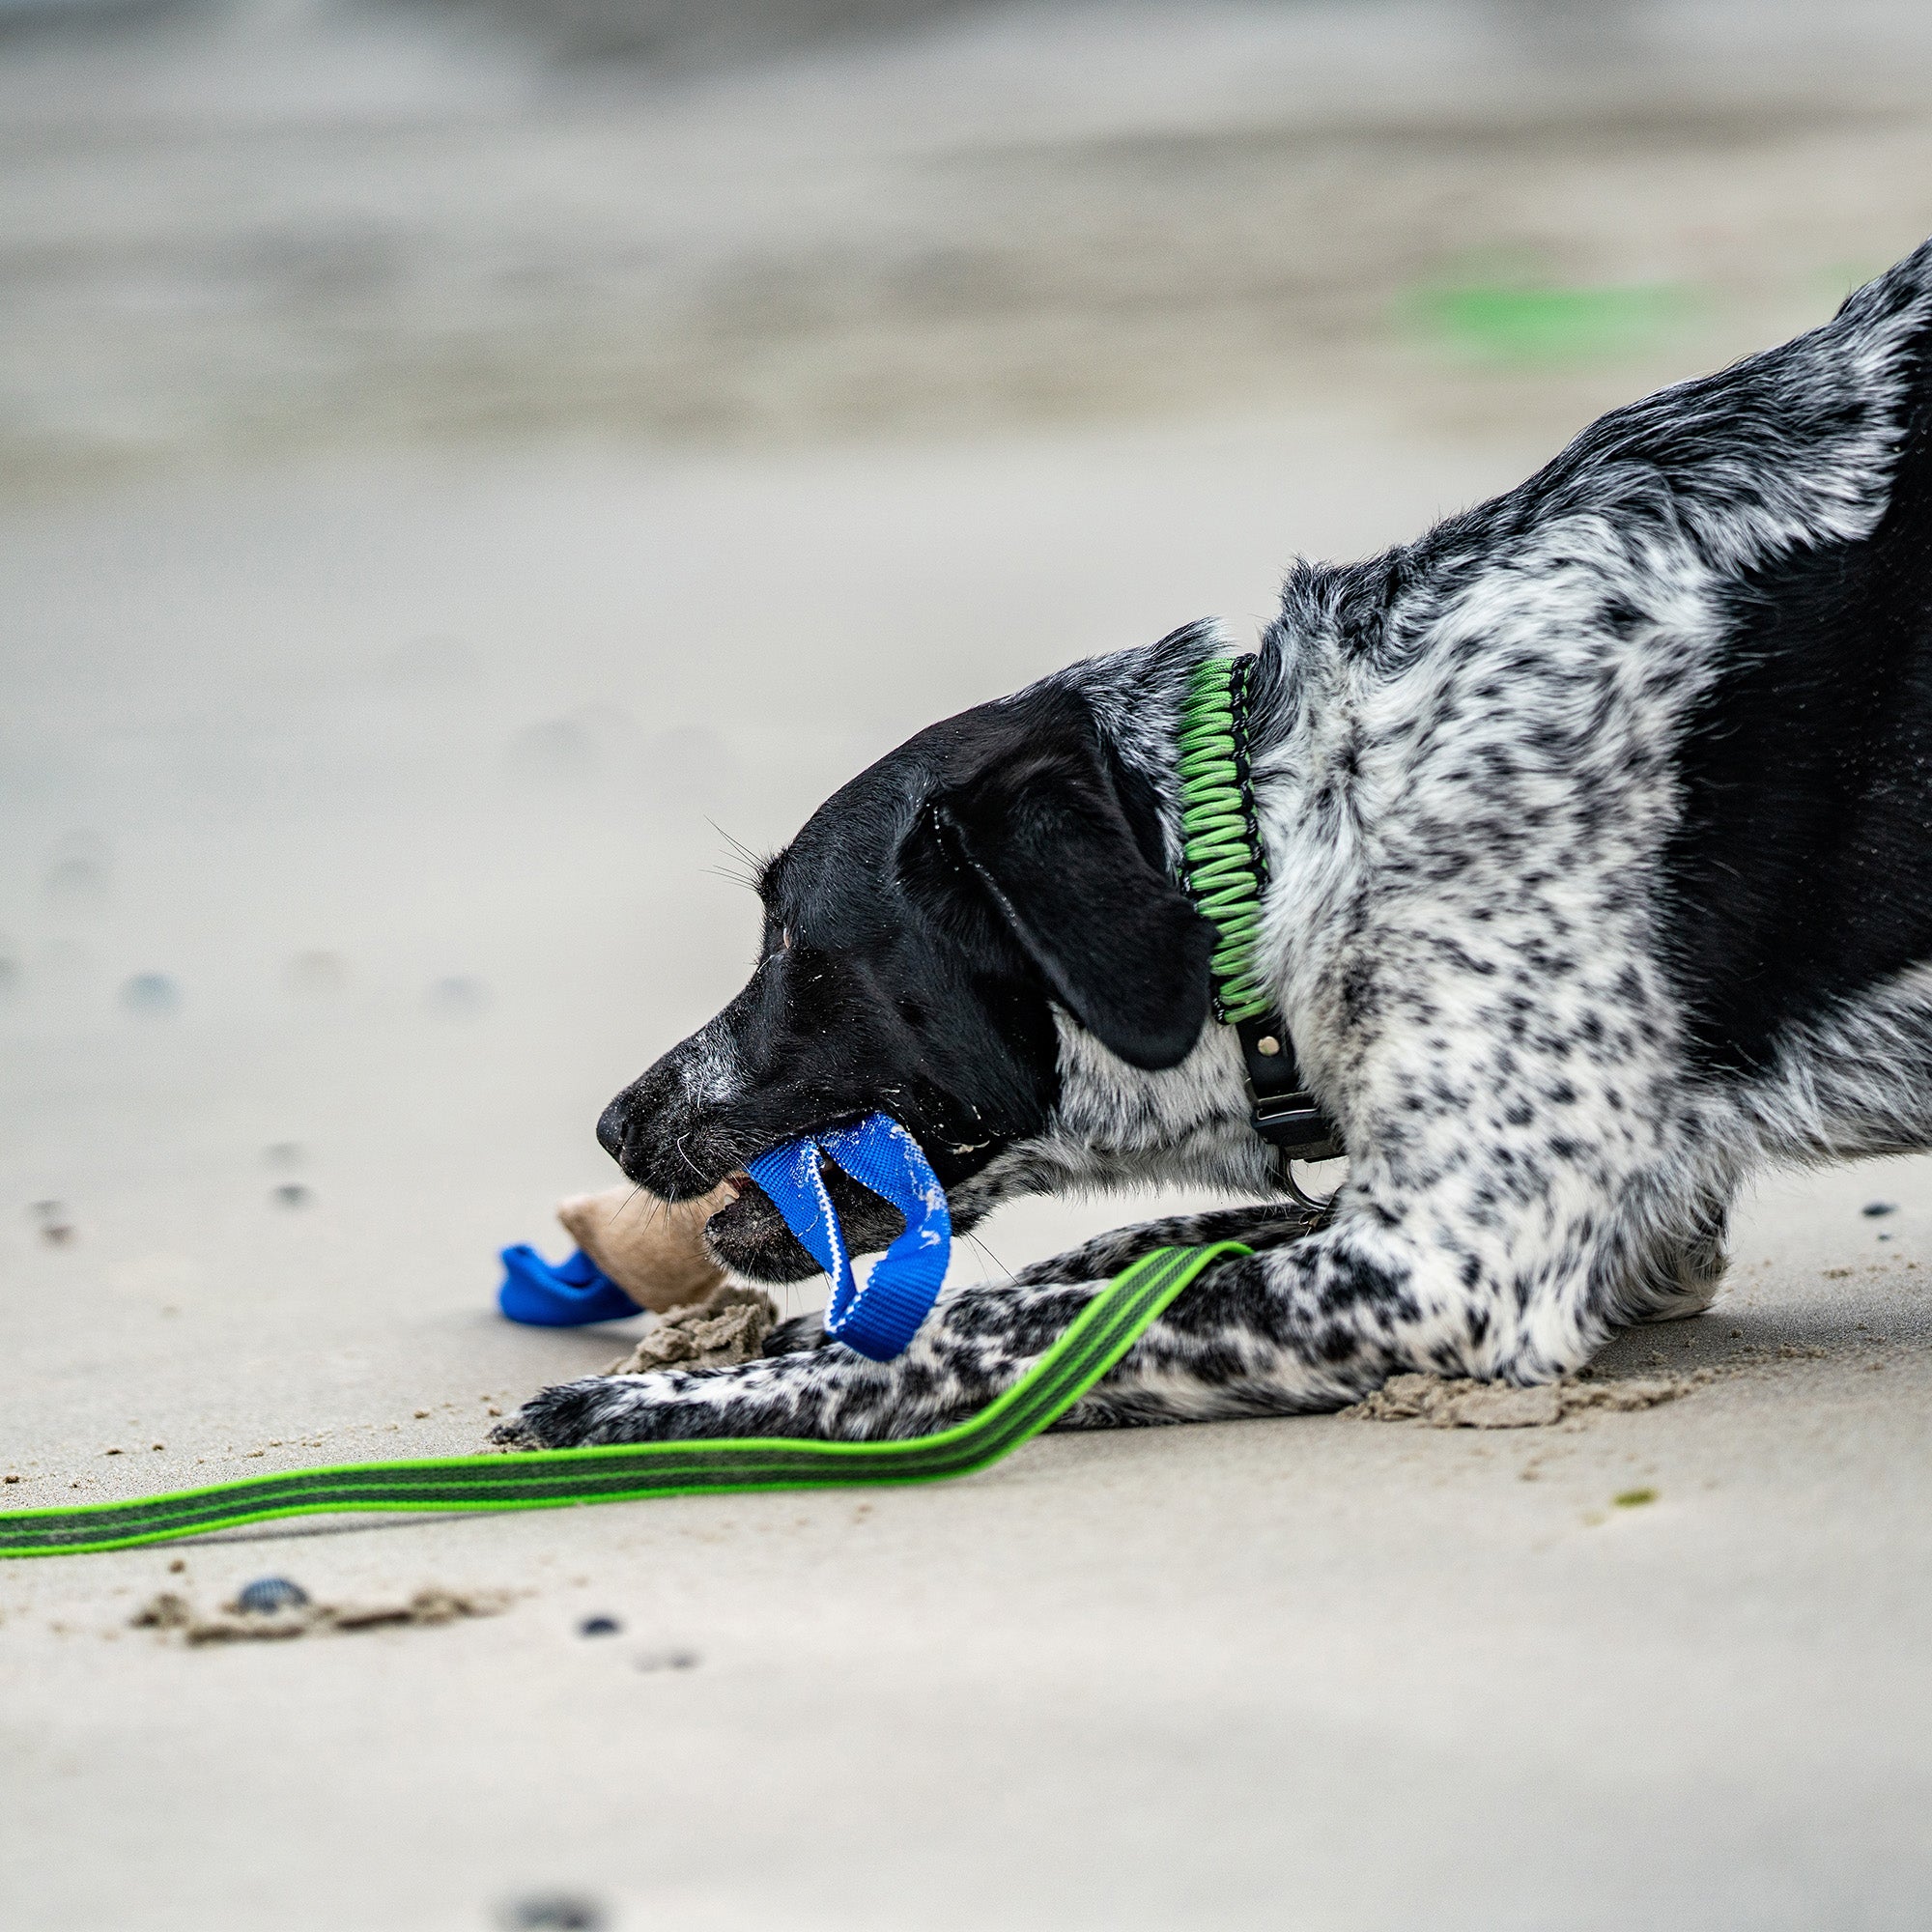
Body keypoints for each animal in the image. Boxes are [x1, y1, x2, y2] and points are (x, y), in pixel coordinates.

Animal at [495, 238, 1932, 1453]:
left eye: (793, 938)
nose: (616, 1124)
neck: (1304, 830)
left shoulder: (1451, 1263)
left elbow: (997, 1322)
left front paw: (653, 1401)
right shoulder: (1637, 1221)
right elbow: (1117, 1256)